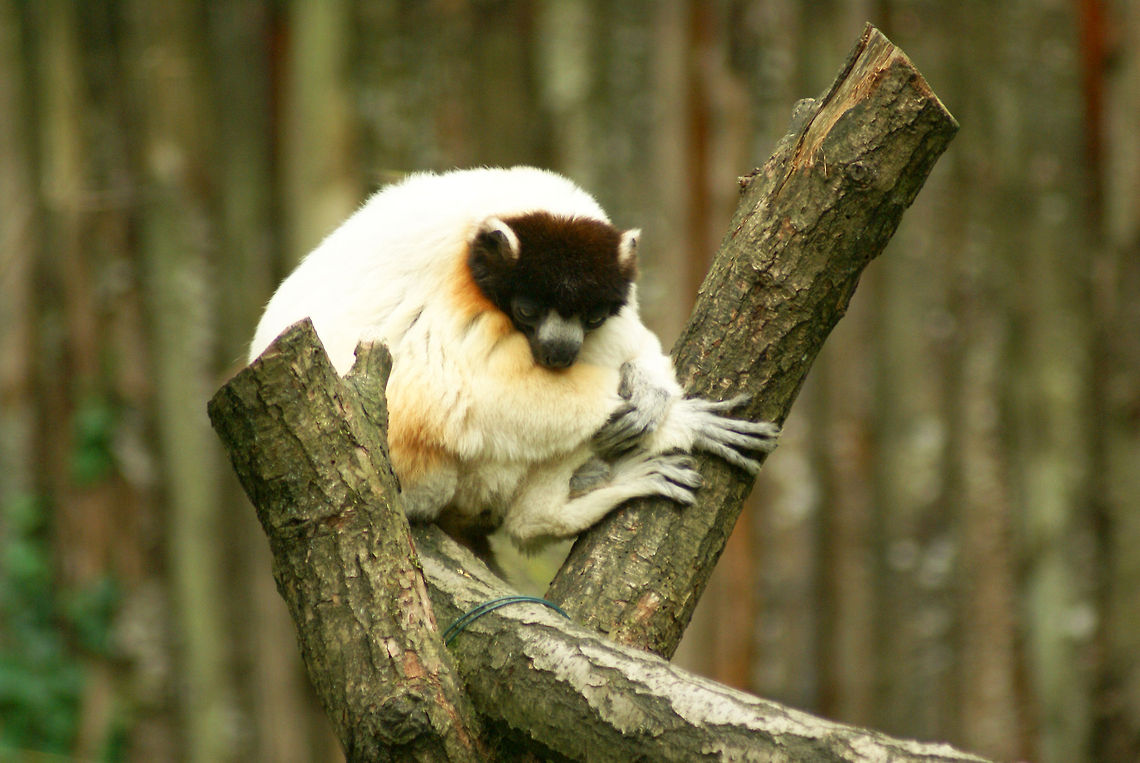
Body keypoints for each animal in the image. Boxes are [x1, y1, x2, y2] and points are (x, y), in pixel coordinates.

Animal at [249, 167, 778, 552]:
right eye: (527, 310)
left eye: (591, 316)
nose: (562, 350)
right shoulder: (458, 289)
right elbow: (465, 393)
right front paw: (681, 422)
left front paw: (651, 391)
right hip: (424, 476)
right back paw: (554, 508)